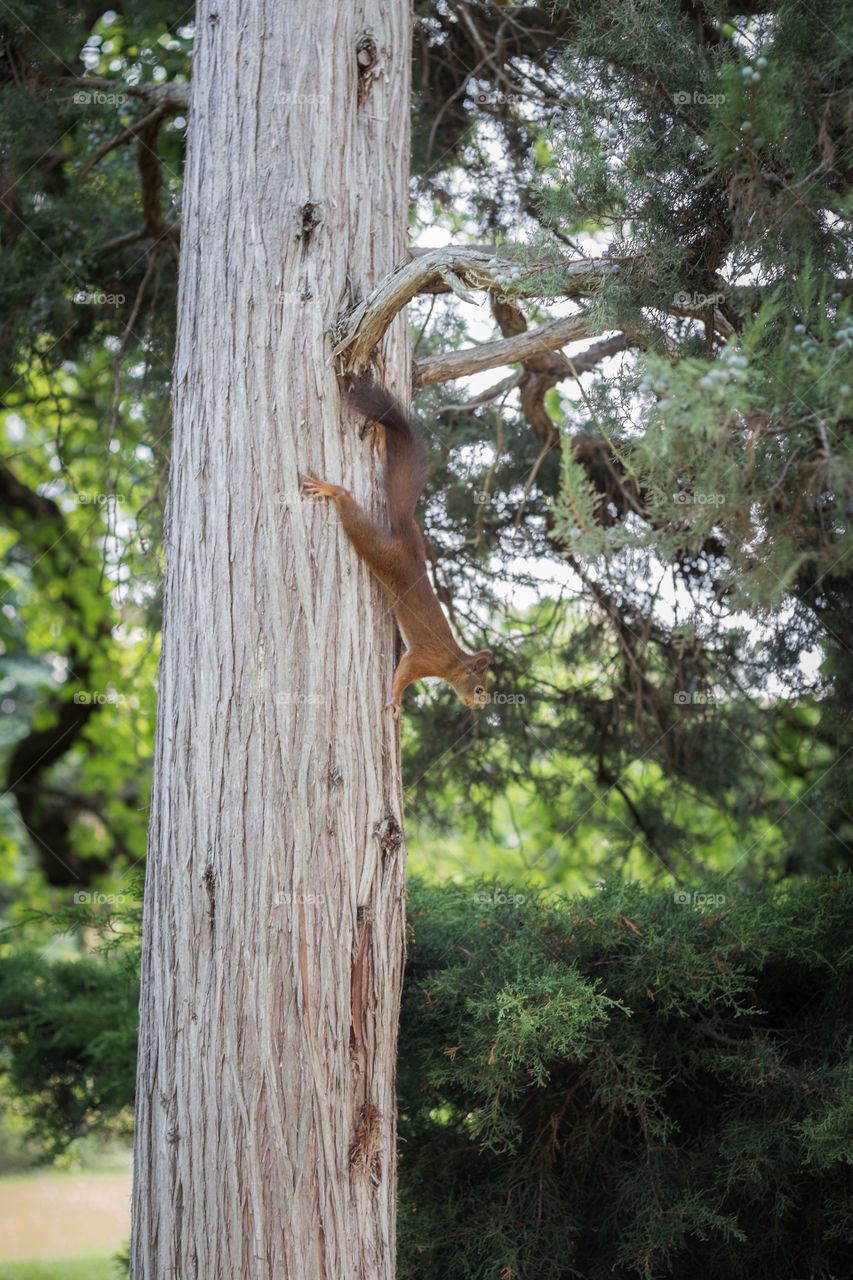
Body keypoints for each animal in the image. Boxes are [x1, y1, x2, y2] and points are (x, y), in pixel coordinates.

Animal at [301, 379, 492, 719]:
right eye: (480, 689)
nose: (482, 705)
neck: (453, 662)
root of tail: (406, 539)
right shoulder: (424, 659)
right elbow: (403, 673)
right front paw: (394, 700)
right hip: (381, 551)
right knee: (353, 514)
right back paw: (333, 491)